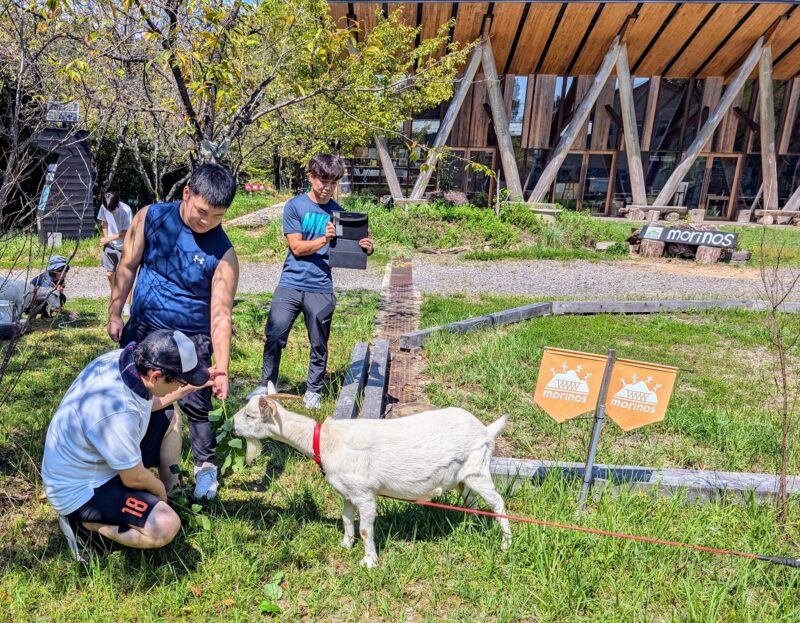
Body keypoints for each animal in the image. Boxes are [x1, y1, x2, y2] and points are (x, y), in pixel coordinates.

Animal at [233, 398, 512, 568]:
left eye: (249, 414)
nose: (232, 425)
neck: (325, 441)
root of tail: (486, 430)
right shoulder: (346, 492)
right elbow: (346, 518)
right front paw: (346, 544)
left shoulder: (364, 493)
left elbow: (366, 529)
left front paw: (369, 562)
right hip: (464, 476)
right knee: (471, 500)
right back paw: (469, 526)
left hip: (478, 470)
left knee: (498, 503)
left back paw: (505, 543)